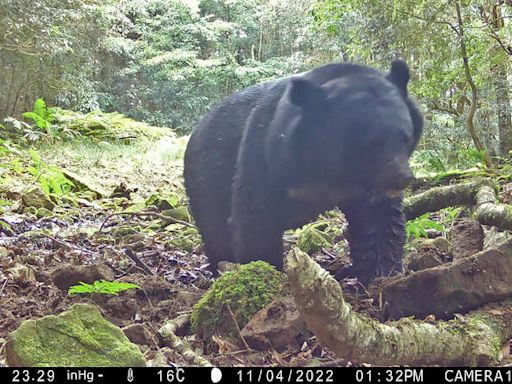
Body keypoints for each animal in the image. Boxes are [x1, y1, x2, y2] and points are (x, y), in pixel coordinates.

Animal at [186, 61, 422, 284]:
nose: (400, 178)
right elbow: (256, 218)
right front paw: (265, 272)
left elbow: (379, 219)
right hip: (207, 179)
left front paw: (382, 274)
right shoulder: (265, 155)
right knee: (216, 229)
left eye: (405, 136)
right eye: (366, 144)